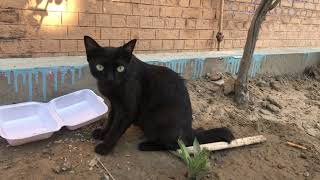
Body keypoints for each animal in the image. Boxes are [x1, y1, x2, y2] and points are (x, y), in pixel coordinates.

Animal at [84, 36, 234, 155]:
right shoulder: (114, 104)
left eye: (120, 68)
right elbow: (110, 119)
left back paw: (146, 145)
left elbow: (116, 128)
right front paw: (102, 133)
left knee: (177, 145)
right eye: (100, 67)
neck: (112, 88)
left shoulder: (128, 110)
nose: (110, 79)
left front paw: (105, 146)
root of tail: (189, 132)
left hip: (156, 116)